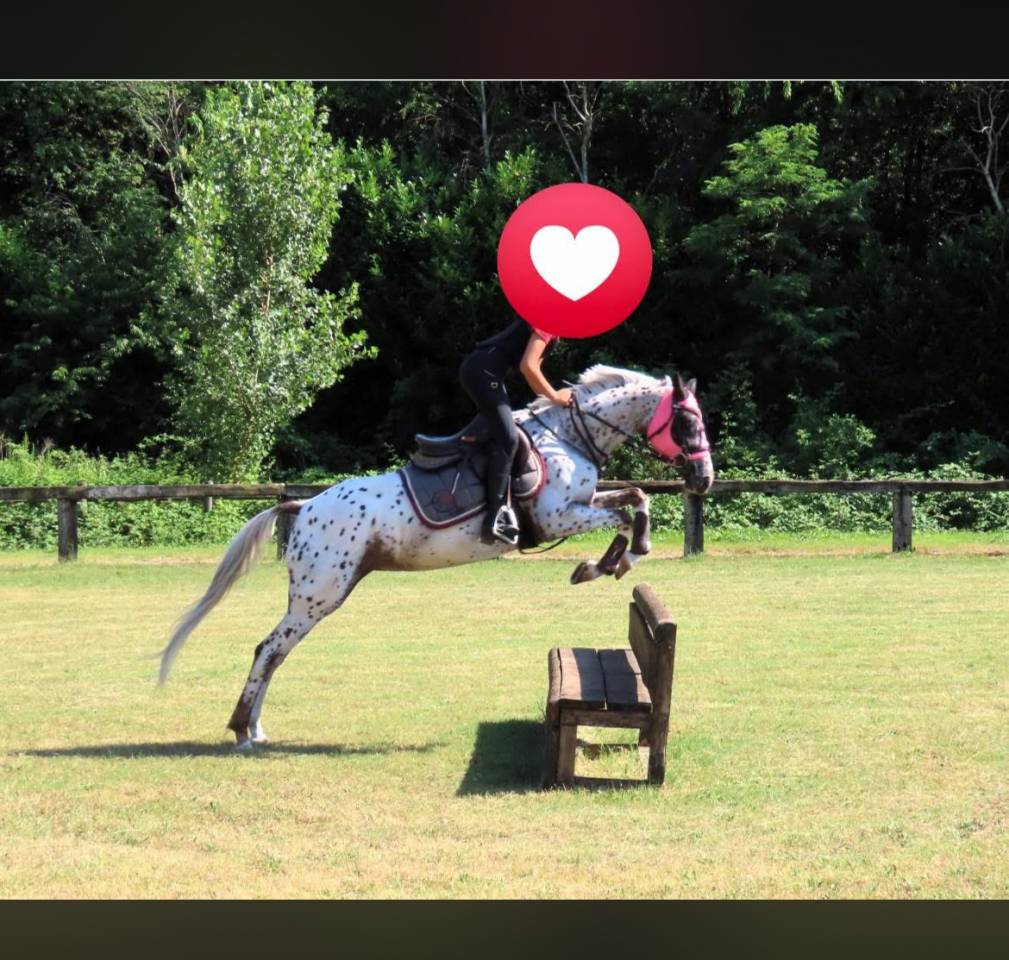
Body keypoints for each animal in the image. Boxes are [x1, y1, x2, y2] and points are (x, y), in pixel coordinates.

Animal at [158, 364, 714, 749]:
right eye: (688, 421)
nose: (704, 479)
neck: (570, 437)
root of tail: (304, 506)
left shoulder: (579, 504)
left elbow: (635, 499)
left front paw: (607, 564)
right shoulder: (558, 516)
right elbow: (624, 515)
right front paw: (611, 562)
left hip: (321, 594)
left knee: (275, 653)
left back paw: (254, 727)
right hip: (319, 594)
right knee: (268, 649)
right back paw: (242, 731)